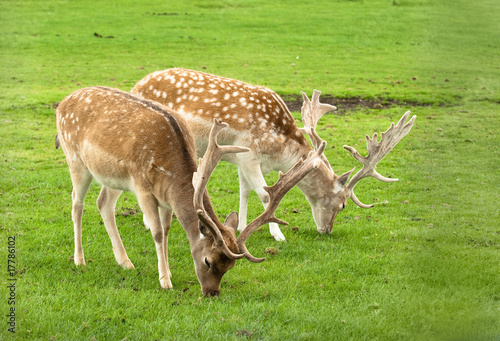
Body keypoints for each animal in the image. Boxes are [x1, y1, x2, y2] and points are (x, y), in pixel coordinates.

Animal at [54, 85, 324, 294]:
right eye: (207, 261)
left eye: (229, 267)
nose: (212, 292)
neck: (169, 167)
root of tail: (62, 103)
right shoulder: (142, 187)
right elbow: (157, 233)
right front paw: (165, 281)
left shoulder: (165, 197)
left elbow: (166, 229)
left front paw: (166, 272)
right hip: (75, 160)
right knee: (77, 204)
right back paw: (80, 260)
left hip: (112, 177)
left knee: (103, 203)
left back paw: (125, 262)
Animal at [131, 67, 416, 240]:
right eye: (343, 204)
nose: (327, 230)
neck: (279, 151)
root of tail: (136, 85)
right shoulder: (249, 154)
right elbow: (266, 196)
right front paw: (277, 234)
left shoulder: (241, 159)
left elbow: (245, 191)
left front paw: (242, 224)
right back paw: (147, 222)